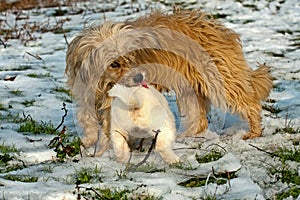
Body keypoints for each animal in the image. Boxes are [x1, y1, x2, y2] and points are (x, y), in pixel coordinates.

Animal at [65, 10, 272, 155]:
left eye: (132, 57)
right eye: (115, 63)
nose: (139, 77)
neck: (104, 83)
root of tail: (220, 30)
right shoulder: (86, 94)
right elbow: (88, 119)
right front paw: (89, 142)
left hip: (221, 79)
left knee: (249, 102)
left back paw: (254, 131)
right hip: (189, 90)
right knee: (200, 120)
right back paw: (184, 136)